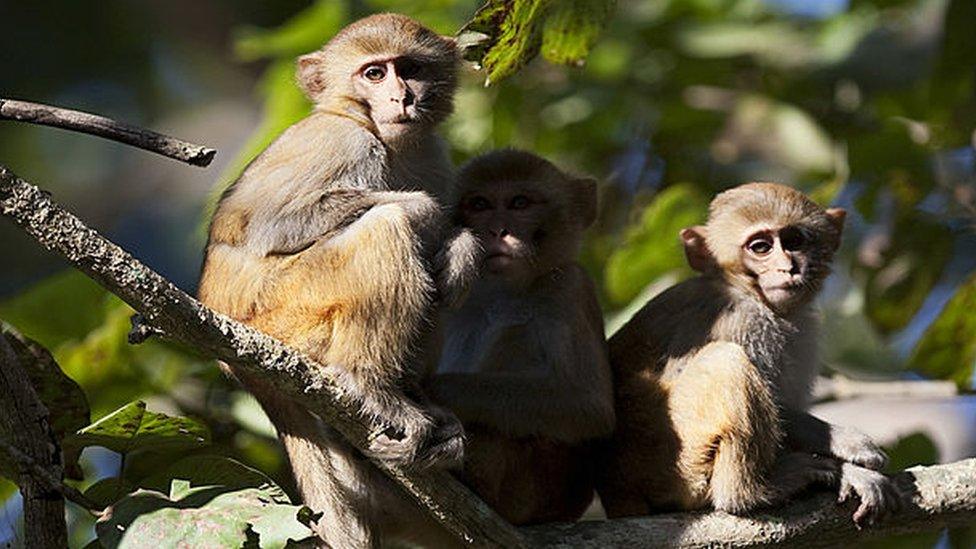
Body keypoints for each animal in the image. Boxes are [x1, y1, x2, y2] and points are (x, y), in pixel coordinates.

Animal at [199, 12, 480, 544]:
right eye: (373, 73)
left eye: (410, 68)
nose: (402, 97)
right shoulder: (342, 141)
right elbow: (269, 223)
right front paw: (427, 214)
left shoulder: (434, 155)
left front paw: (463, 246)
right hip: (287, 313)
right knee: (385, 229)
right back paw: (369, 385)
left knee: (442, 285)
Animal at [428, 149, 612, 524]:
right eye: (480, 204)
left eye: (519, 202)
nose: (498, 230)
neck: (502, 292)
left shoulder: (570, 286)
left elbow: (588, 404)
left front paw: (436, 391)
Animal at [600, 184, 904, 528]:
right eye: (760, 247)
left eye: (794, 241)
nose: (788, 267)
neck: (748, 292)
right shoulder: (740, 320)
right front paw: (847, 448)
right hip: (670, 457)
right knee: (726, 361)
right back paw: (749, 492)